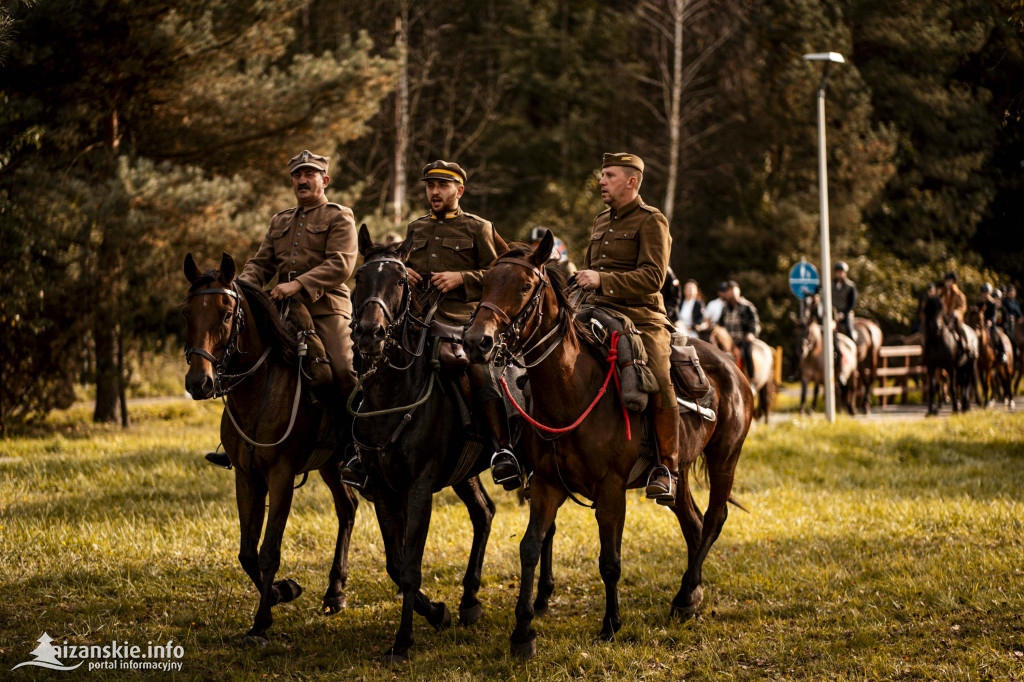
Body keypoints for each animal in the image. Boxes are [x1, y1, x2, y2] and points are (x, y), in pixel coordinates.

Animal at [182, 251, 358, 647]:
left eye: (226, 314)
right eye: (188, 312)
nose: (199, 382)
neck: (259, 388)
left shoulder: (280, 477)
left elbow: (268, 552)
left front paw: (261, 622)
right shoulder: (247, 478)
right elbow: (247, 552)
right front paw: (282, 592)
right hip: (330, 464)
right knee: (348, 509)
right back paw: (335, 592)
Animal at [348, 225, 544, 659]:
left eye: (400, 280)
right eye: (358, 278)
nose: (370, 334)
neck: (393, 394)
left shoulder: (420, 488)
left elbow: (409, 567)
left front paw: (403, 641)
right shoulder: (383, 490)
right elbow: (395, 563)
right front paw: (437, 612)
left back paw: (538, 601)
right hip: (464, 473)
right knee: (484, 512)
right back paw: (469, 600)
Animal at [464, 231, 753, 655]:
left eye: (525, 286)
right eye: (485, 281)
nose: (476, 342)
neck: (573, 389)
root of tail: (732, 366)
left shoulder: (612, 490)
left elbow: (610, 560)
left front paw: (611, 624)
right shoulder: (546, 485)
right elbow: (530, 546)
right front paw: (523, 631)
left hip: (724, 459)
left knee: (715, 519)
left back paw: (685, 594)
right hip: (678, 471)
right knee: (694, 522)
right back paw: (691, 596)